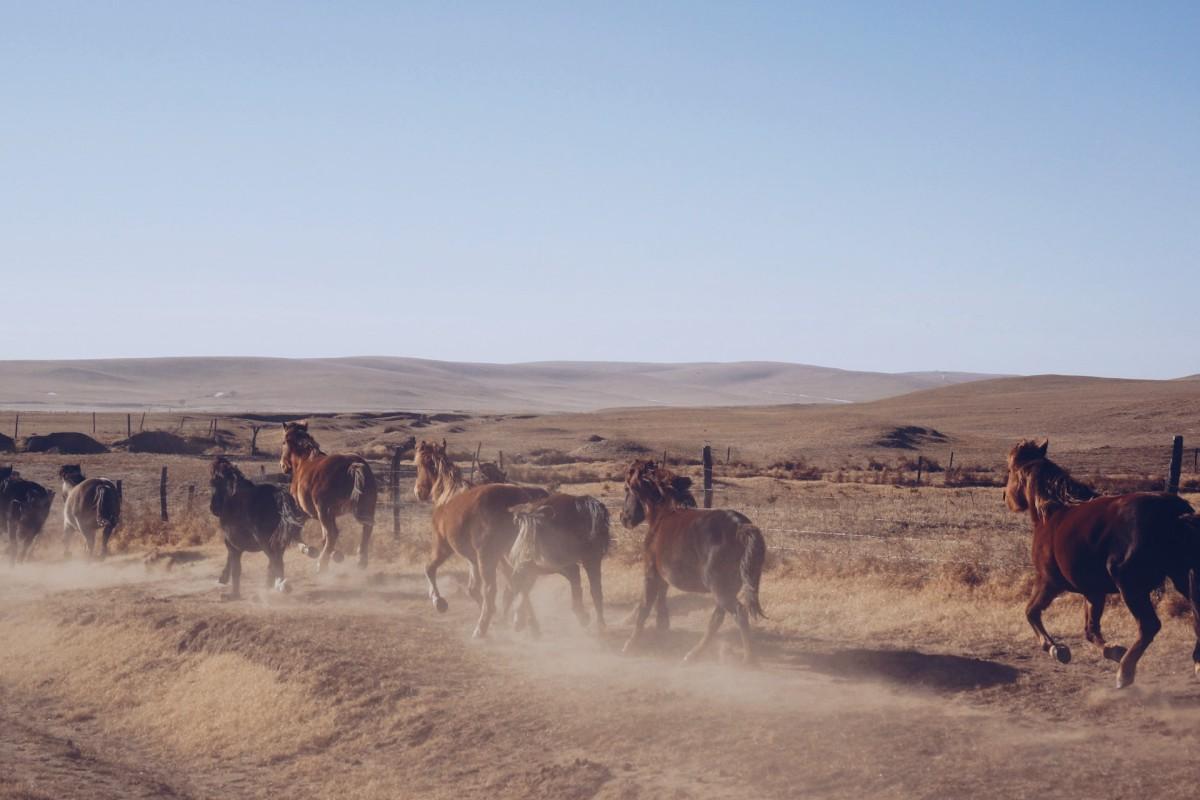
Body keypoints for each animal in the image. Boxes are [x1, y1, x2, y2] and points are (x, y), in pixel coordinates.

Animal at [278, 422, 376, 573]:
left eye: (283, 442)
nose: (283, 466)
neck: (303, 461)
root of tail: (352, 465)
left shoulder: (302, 511)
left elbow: (296, 532)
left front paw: (310, 550)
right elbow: (323, 536)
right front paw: (336, 555)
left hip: (324, 510)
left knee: (333, 533)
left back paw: (322, 564)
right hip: (363, 509)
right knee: (366, 529)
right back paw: (361, 561)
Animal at [410, 438, 547, 638]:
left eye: (419, 465)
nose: (418, 492)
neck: (448, 495)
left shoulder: (443, 547)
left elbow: (429, 569)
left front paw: (439, 602)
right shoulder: (474, 560)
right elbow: (474, 589)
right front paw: (513, 618)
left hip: (487, 557)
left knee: (492, 589)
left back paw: (480, 629)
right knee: (524, 581)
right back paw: (524, 622)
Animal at [619, 460, 768, 666]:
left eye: (627, 488)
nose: (623, 518)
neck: (663, 516)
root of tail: (741, 527)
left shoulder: (651, 574)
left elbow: (644, 607)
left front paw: (629, 645)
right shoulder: (663, 578)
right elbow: (660, 602)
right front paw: (662, 629)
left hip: (720, 588)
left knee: (739, 614)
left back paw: (748, 660)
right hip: (728, 588)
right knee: (717, 619)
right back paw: (693, 654)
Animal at [1003, 438, 1200, 690]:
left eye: (1010, 470)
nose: (1006, 498)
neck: (1051, 513)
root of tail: (1175, 514)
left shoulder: (1049, 582)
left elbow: (1031, 612)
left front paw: (1056, 649)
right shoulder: (1092, 592)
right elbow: (1090, 630)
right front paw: (1113, 650)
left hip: (1131, 586)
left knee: (1149, 626)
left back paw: (1125, 673)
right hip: (1183, 579)